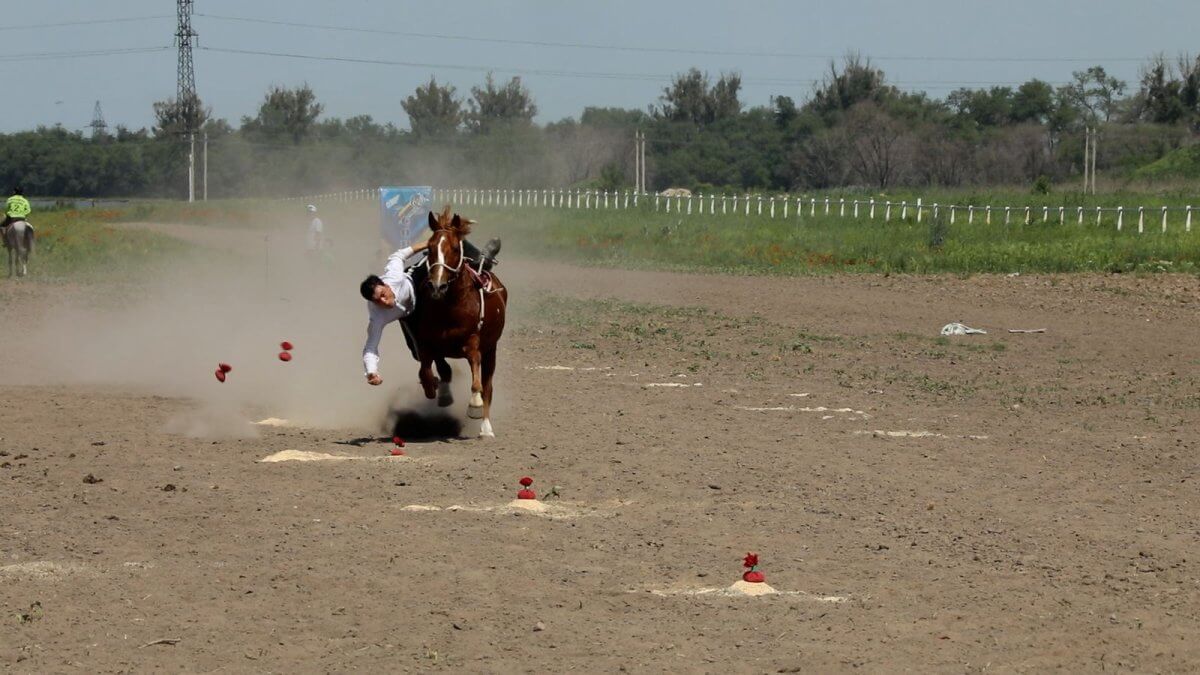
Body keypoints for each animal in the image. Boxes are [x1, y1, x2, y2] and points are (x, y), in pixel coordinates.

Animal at [412, 205, 506, 437]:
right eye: (429, 248)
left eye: (455, 247)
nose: (437, 286)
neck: (451, 307)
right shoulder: (429, 344)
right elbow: (431, 370)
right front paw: (434, 388)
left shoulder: (473, 343)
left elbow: (476, 377)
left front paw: (474, 405)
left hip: (491, 350)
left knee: (488, 386)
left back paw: (486, 427)